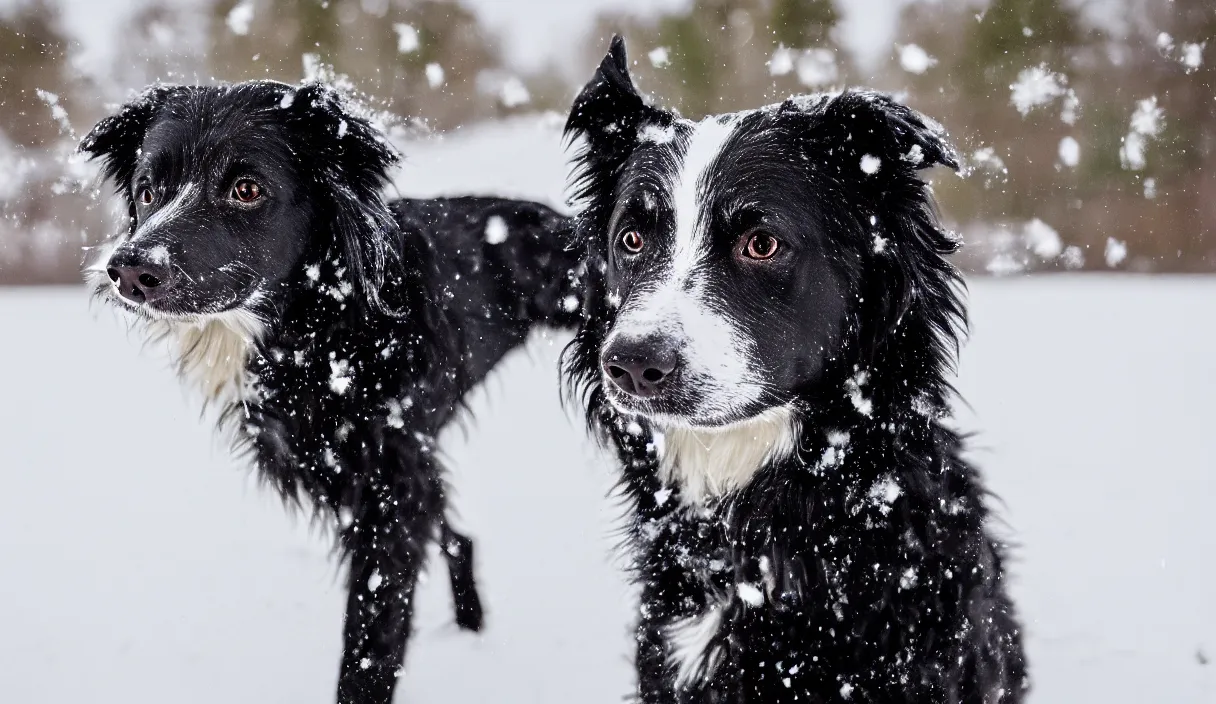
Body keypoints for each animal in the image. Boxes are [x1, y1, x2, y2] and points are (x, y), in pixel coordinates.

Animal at [83, 81, 581, 704]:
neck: (327, 328)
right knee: (460, 537)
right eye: (148, 191)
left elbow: (371, 643)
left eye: (247, 189)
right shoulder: (356, 470)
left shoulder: (392, 491)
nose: (127, 270)